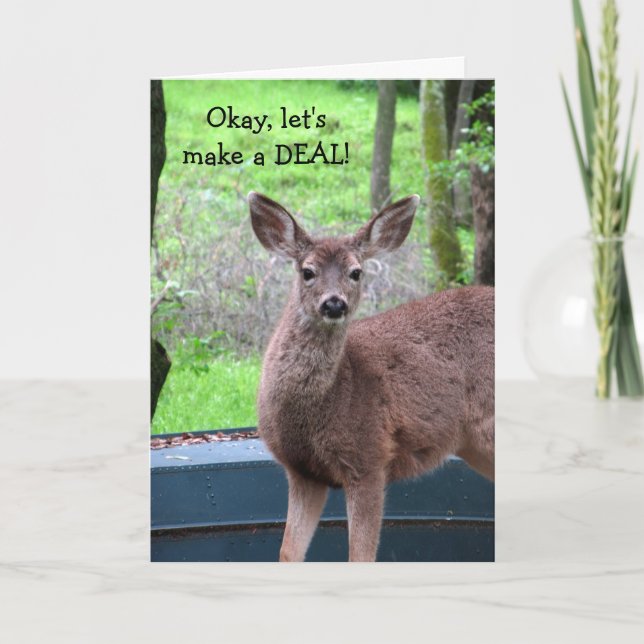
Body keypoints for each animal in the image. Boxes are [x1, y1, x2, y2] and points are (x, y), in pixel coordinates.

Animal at [248, 191, 494, 562]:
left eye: (356, 272)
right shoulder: (302, 472)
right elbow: (288, 553)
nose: (334, 304)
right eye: (307, 271)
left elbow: (360, 556)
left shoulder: (369, 458)